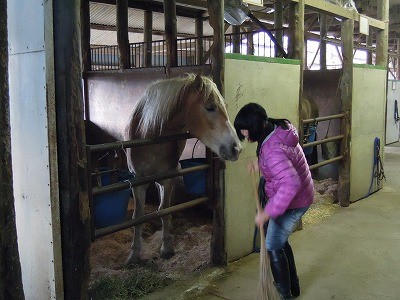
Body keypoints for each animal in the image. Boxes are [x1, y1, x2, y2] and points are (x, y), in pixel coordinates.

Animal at [123, 73, 242, 264]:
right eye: (210, 107)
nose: (236, 148)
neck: (148, 133)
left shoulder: (167, 177)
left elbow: (164, 210)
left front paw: (166, 247)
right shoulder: (137, 181)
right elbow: (138, 217)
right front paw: (134, 254)